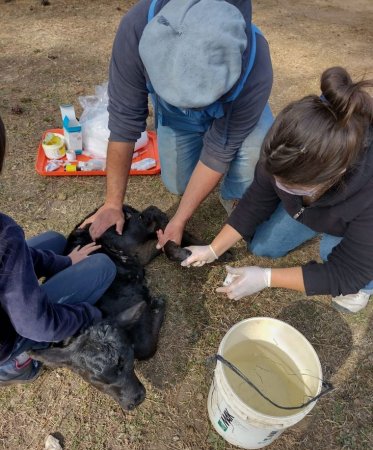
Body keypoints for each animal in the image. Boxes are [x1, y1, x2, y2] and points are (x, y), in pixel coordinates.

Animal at [31, 206, 201, 410]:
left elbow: (145, 347)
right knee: (155, 236)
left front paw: (158, 303)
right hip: (137, 251)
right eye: (95, 379)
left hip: (129, 234)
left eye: (126, 360)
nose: (136, 400)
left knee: (153, 214)